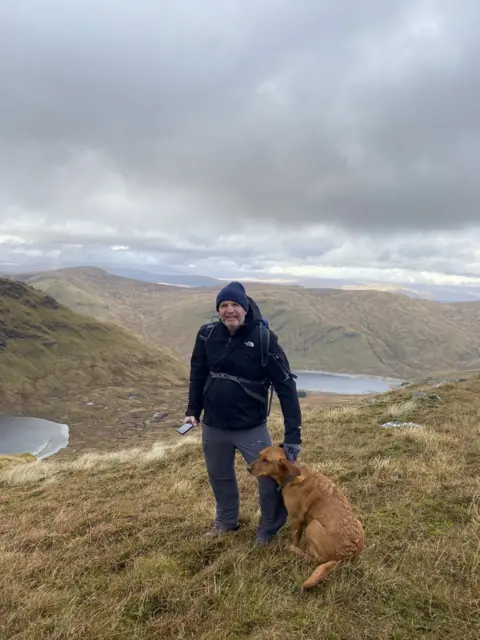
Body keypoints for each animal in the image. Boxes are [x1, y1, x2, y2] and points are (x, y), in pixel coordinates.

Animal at [248, 444, 364, 592]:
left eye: (266, 460)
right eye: (259, 456)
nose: (248, 468)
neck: (292, 476)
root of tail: (345, 557)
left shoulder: (296, 519)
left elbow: (296, 539)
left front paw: (294, 546)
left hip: (313, 525)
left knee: (312, 559)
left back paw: (294, 550)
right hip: (358, 523)